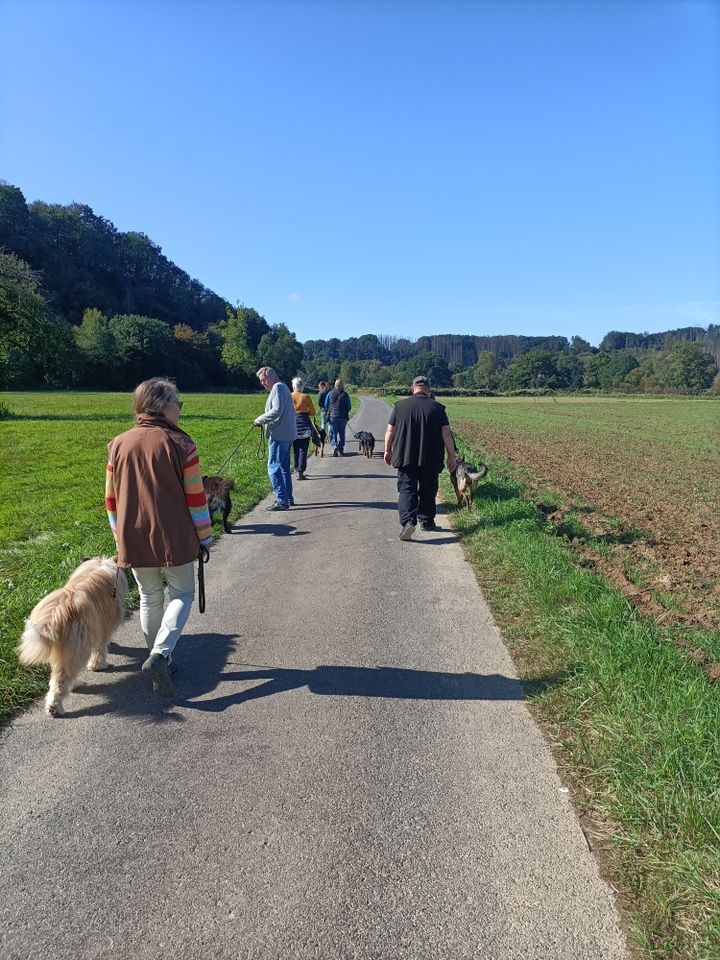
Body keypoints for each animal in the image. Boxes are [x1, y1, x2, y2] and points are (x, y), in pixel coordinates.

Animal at [17, 552, 128, 716]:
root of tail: (56, 613)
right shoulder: (102, 630)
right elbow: (100, 650)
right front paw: (98, 665)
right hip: (77, 647)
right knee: (61, 680)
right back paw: (55, 707)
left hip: (63, 649)